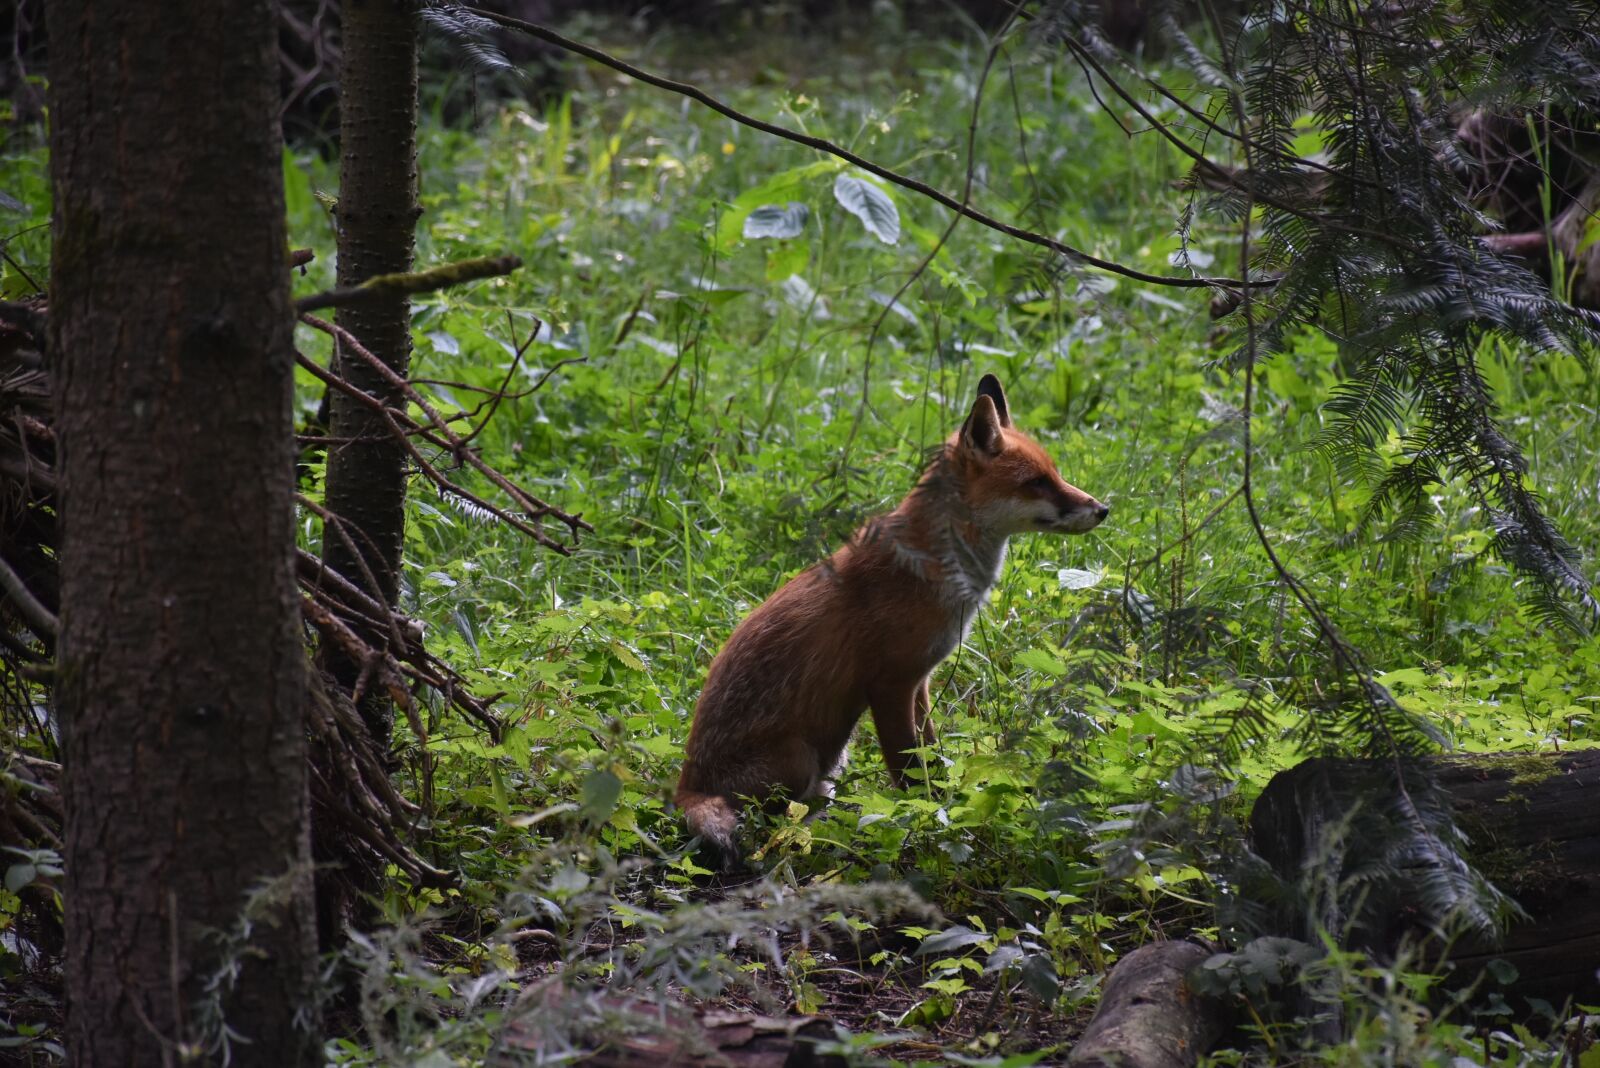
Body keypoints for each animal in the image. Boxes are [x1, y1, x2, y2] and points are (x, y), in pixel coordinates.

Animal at [675, 374, 1108, 866]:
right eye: (1036, 482)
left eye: (1056, 474)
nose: (1103, 510)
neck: (936, 570)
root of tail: (686, 788)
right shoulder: (888, 684)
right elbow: (910, 770)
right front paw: (927, 826)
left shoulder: (921, 681)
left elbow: (933, 758)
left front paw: (947, 809)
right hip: (801, 758)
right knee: (773, 816)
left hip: (831, 760)